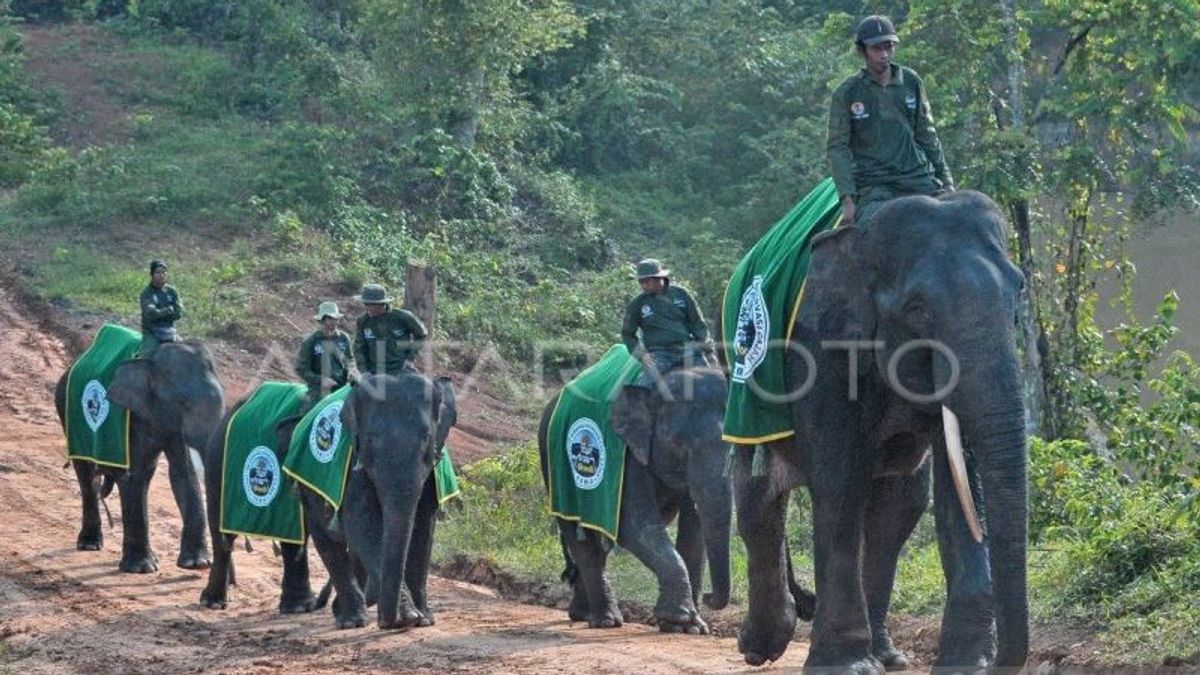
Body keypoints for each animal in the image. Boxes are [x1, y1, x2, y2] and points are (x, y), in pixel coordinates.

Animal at [54, 338, 224, 569]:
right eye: (182, 402)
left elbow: (184, 473)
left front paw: (196, 564)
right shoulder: (132, 416)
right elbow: (135, 474)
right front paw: (141, 568)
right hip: (68, 414)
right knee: (87, 476)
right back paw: (90, 544)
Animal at [297, 369, 456, 629]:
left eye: (427, 439)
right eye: (371, 440)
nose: (386, 621)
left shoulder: (433, 473)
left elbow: (424, 525)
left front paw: (424, 619)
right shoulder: (353, 460)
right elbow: (362, 523)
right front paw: (408, 617)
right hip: (306, 486)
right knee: (326, 541)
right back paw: (351, 620)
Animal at [540, 362, 734, 629]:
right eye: (678, 444)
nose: (709, 596)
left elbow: (694, 532)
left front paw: (691, 626)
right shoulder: (626, 455)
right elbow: (635, 526)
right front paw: (679, 619)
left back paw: (583, 614)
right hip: (555, 468)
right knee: (583, 540)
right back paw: (606, 620)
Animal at [729, 190, 1032, 672]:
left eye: (1018, 290)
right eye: (917, 309)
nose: (1002, 661)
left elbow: (963, 486)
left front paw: (966, 663)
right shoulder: (820, 349)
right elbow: (839, 483)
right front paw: (844, 665)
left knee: (899, 508)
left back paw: (887, 656)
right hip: (747, 402)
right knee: (758, 500)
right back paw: (762, 647)